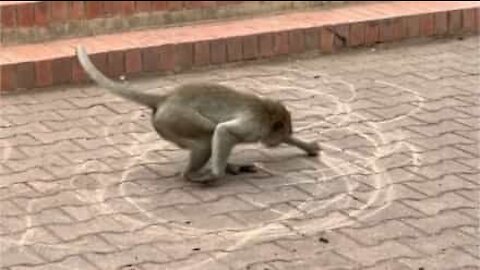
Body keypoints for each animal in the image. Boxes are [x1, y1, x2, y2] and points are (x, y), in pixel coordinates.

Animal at [77, 45, 320, 184]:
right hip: (174, 119)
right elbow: (224, 131)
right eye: (278, 135)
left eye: (285, 134)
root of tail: (166, 99)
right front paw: (215, 174)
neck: (267, 113)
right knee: (207, 136)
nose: (276, 142)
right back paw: (193, 174)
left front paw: (308, 146)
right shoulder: (255, 125)